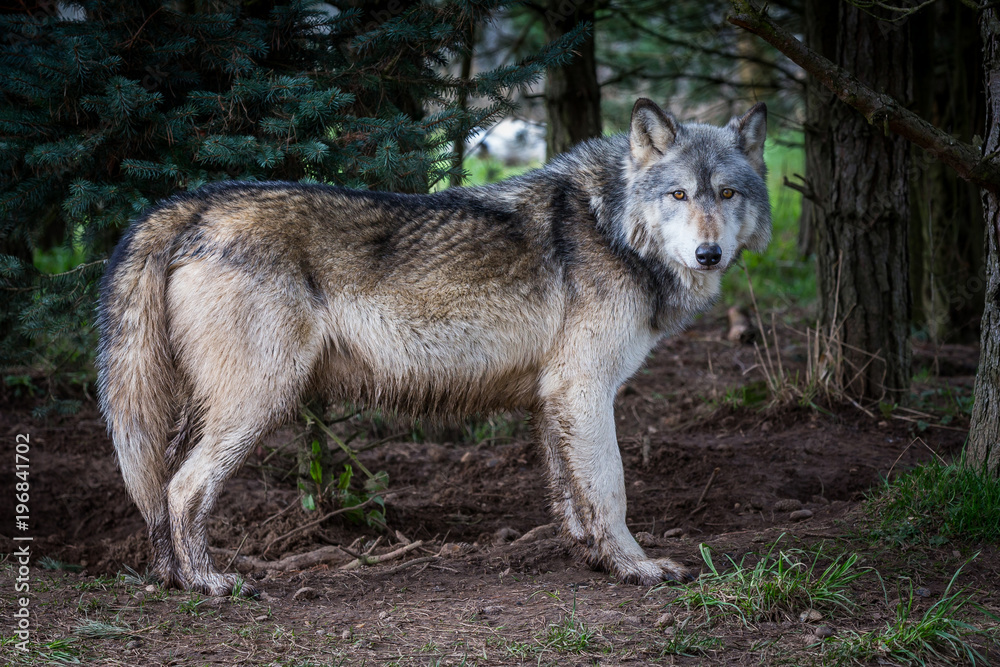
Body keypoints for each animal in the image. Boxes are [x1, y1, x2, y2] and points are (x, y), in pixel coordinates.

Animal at [97, 98, 771, 596]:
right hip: (258, 403)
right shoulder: (583, 391)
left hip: (205, 410)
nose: (709, 254)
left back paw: (170, 579)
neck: (613, 227)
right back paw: (209, 583)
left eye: (726, 195)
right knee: (183, 488)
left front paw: (594, 559)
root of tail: (192, 203)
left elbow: (572, 497)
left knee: (160, 484)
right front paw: (637, 568)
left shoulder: (553, 398)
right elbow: (610, 489)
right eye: (678, 195)